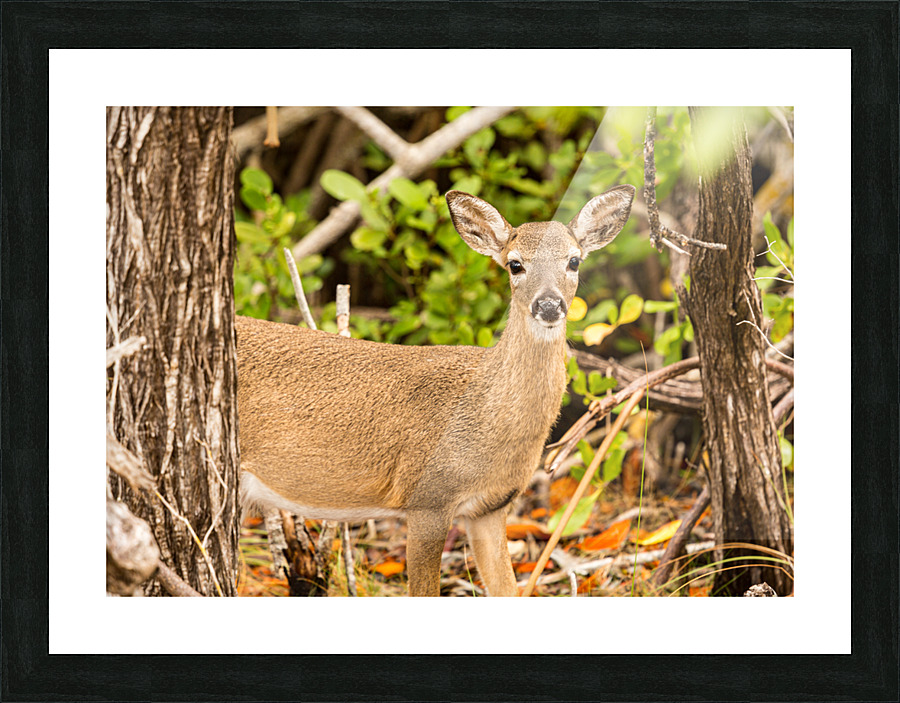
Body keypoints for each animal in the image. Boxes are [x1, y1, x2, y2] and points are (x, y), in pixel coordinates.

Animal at [236, 184, 635, 596]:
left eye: (574, 261)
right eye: (515, 264)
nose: (549, 304)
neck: (485, 413)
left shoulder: (490, 508)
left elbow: (508, 590)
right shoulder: (428, 498)